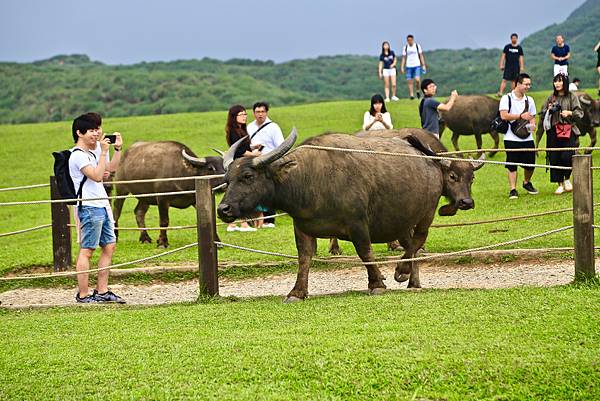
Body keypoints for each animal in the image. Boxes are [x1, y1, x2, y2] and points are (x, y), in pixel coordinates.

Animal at [218, 128, 486, 300]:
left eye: (248, 176)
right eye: (227, 179)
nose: (223, 209)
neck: (310, 179)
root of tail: (429, 159)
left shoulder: (358, 223)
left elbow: (365, 253)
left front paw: (377, 284)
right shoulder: (302, 227)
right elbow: (304, 258)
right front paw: (297, 292)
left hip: (426, 213)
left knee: (418, 240)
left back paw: (401, 272)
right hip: (401, 218)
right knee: (411, 244)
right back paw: (413, 280)